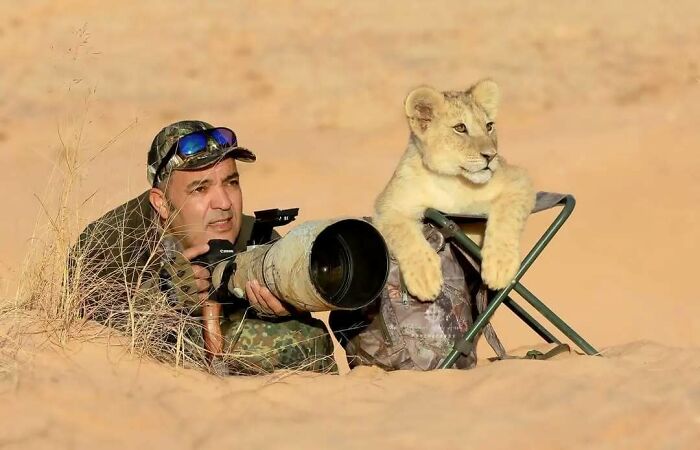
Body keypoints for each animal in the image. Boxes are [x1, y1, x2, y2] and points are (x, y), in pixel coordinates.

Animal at [373, 79, 536, 301]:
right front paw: (425, 278)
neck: (452, 180)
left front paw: (500, 266)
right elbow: (404, 235)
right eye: (460, 128)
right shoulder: (387, 207)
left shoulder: (518, 180)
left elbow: (506, 218)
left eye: (489, 126)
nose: (491, 156)